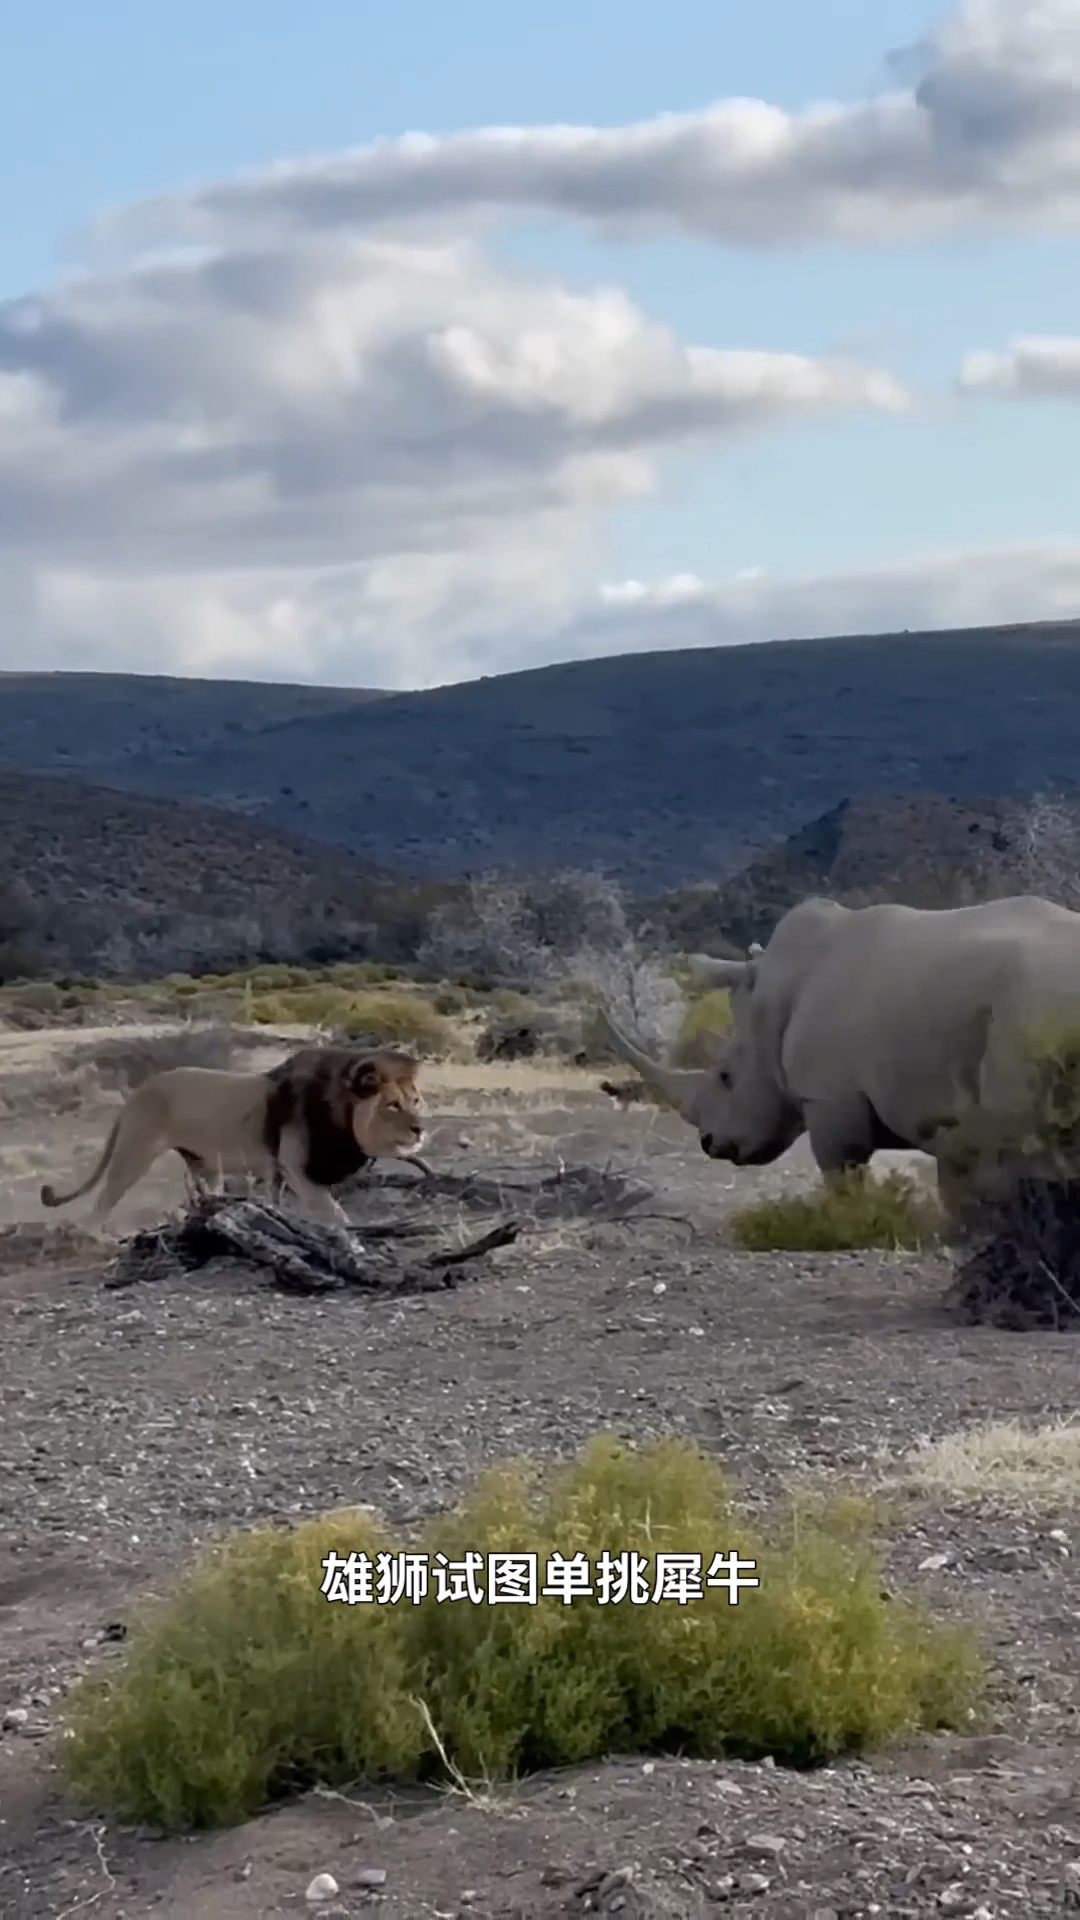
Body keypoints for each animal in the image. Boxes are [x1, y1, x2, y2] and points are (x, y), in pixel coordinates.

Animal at [42, 1044, 428, 1221]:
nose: (420, 1130)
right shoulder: (295, 1167)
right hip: (134, 1153)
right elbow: (334, 1214)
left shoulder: (282, 1174)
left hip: (203, 1165)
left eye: (416, 1100)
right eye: (392, 1105)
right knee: (102, 1204)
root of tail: (136, 1093)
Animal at [595, 890, 1080, 1205]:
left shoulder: (830, 1095)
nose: (710, 1143)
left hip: (1029, 1006)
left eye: (726, 1076)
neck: (772, 998)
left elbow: (841, 1170)